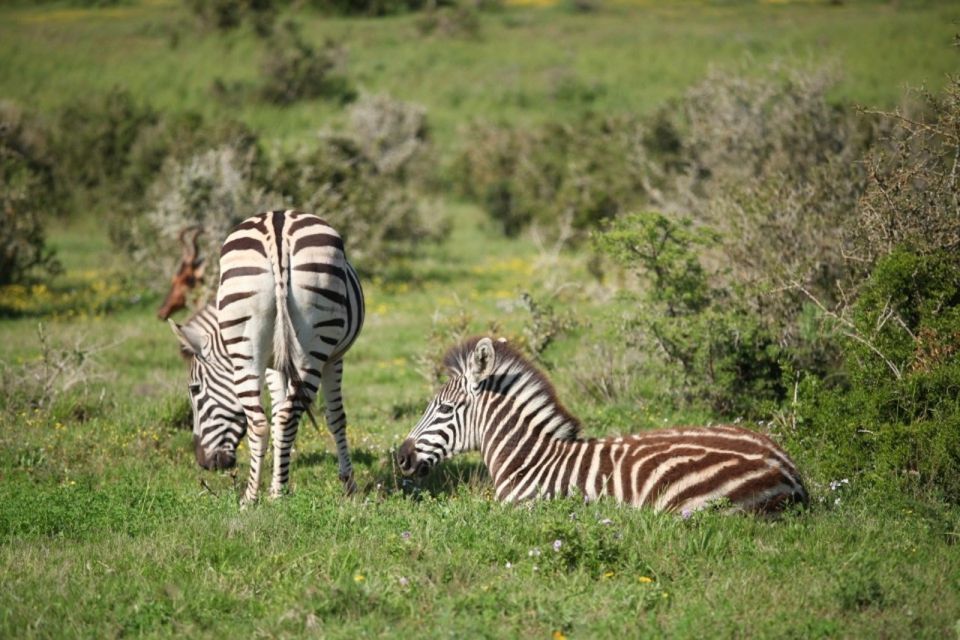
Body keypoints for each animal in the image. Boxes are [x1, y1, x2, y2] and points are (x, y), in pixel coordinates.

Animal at [169, 210, 364, 504]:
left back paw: (251, 497)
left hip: (250, 348)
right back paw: (272, 493)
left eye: (194, 389)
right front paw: (345, 484)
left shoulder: (298, 362)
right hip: (309, 348)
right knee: (282, 418)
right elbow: (327, 416)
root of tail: (277, 226)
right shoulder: (324, 359)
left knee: (261, 422)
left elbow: (311, 414)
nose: (204, 463)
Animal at [400, 338, 808, 512]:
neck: (531, 461)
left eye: (445, 408)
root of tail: (787, 465)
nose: (401, 457)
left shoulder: (525, 511)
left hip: (689, 507)